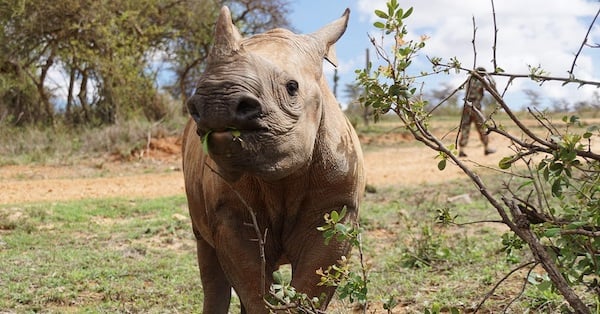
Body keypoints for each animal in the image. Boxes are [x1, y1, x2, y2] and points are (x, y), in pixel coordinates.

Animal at [180, 6, 364, 312]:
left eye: (292, 87)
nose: (217, 101)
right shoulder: (229, 215)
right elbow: (254, 289)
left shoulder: (339, 207)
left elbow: (311, 288)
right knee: (208, 259)